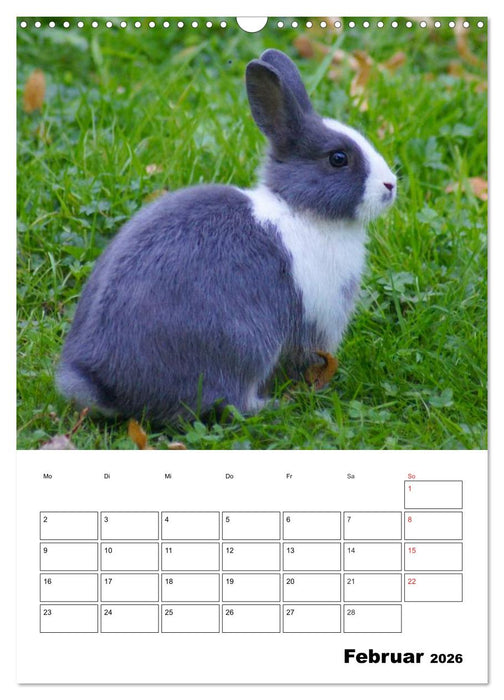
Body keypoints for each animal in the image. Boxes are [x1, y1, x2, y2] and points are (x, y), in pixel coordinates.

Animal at [56, 48, 396, 424]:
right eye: (338, 159)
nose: (390, 185)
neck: (299, 208)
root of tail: (108, 385)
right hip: (245, 346)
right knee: (233, 402)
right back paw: (275, 404)